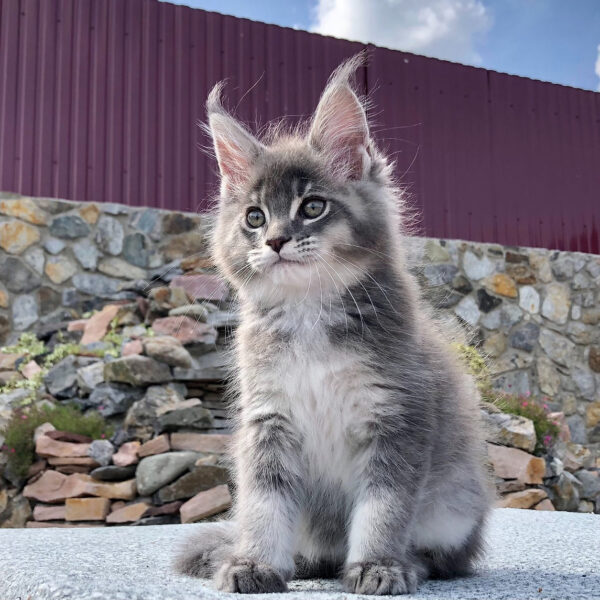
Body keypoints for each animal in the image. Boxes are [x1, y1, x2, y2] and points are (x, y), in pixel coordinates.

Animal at [175, 55, 492, 596]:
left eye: (312, 207)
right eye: (254, 218)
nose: (276, 241)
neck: (309, 314)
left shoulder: (397, 418)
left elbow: (383, 507)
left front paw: (377, 566)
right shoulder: (269, 421)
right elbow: (264, 505)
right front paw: (255, 562)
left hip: (455, 503)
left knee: (446, 558)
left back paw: (410, 564)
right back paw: (302, 561)